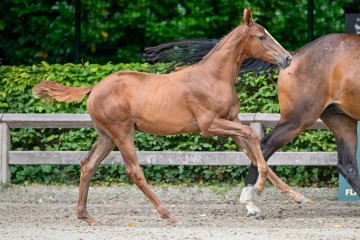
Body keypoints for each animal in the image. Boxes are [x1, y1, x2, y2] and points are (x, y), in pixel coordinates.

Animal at [33, 7, 292, 225]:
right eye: (261, 36)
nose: (287, 58)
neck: (212, 77)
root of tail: (94, 87)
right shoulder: (209, 125)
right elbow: (253, 137)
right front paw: (259, 188)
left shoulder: (231, 121)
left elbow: (253, 152)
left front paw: (290, 194)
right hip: (122, 132)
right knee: (134, 171)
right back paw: (168, 214)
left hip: (106, 136)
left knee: (88, 165)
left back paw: (86, 216)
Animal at [145, 32, 360, 216]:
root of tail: (295, 55)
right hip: (300, 117)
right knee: (264, 146)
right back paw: (251, 198)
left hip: (341, 119)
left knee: (347, 165)